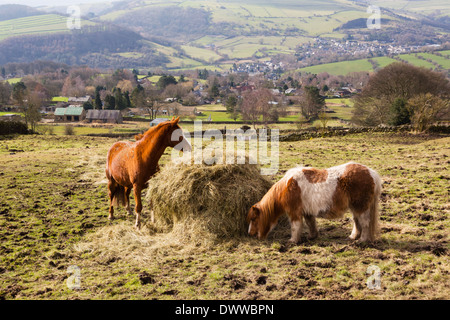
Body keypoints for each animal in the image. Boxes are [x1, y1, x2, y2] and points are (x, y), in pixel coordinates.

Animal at [248, 162, 382, 242]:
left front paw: (293, 241)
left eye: (254, 219)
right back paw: (353, 237)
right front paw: (312, 236)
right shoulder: (307, 212)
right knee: (357, 222)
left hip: (361, 207)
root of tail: (371, 173)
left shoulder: (294, 212)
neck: (287, 187)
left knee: (365, 223)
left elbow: (295, 227)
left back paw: (362, 241)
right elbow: (310, 223)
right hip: (355, 207)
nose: (250, 233)